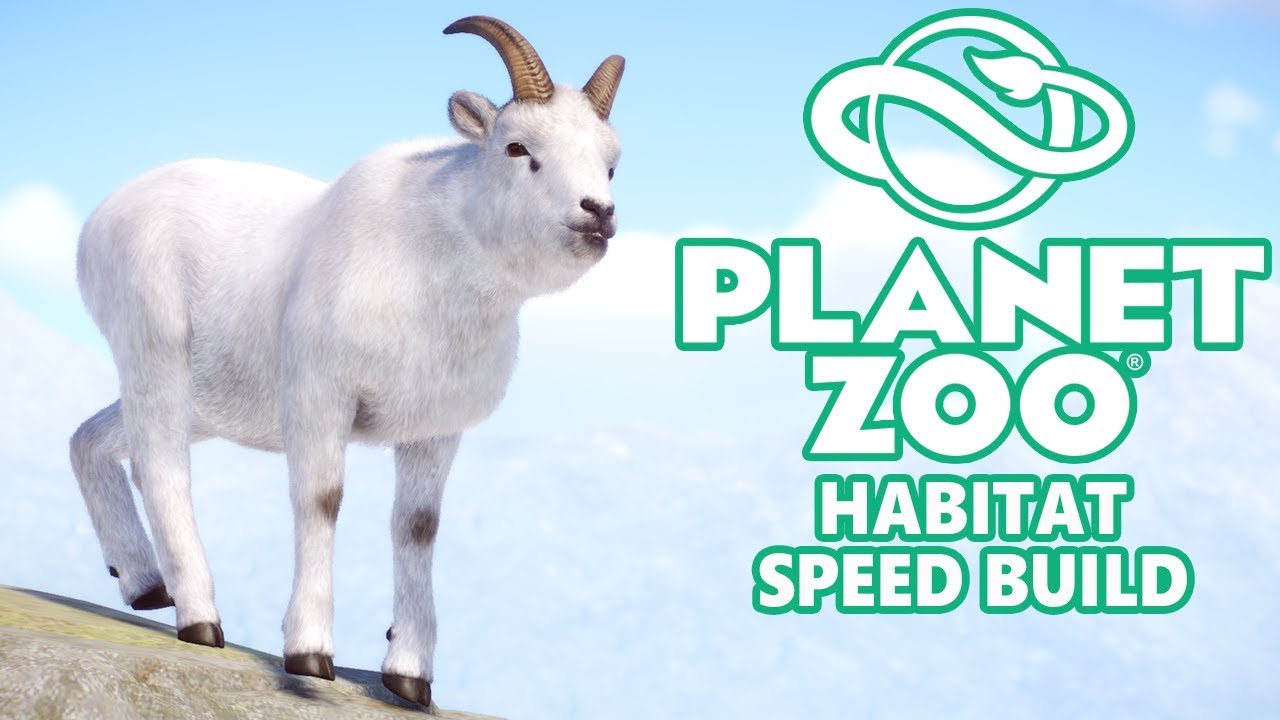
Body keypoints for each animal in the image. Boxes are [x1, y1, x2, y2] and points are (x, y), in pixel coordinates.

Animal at [68, 16, 624, 708]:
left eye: (611, 162)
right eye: (517, 147)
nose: (596, 213)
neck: (432, 266)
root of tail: (101, 217)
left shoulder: (434, 430)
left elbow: (417, 527)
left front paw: (410, 678)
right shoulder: (319, 395)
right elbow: (321, 499)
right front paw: (309, 655)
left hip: (204, 401)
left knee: (89, 439)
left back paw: (145, 586)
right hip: (155, 353)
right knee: (161, 467)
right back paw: (199, 619)